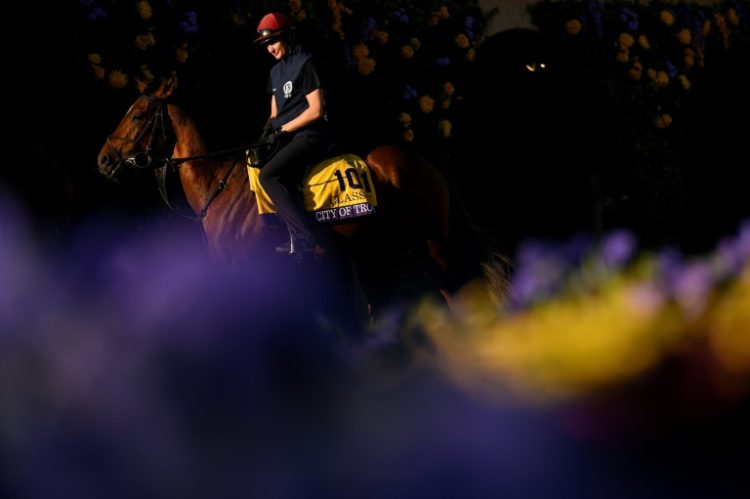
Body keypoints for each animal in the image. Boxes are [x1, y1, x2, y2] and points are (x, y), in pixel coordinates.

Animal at [95, 78, 512, 320]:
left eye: (138, 115)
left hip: (432, 243)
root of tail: (422, 159)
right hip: (375, 252)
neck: (219, 188)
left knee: (455, 293)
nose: (104, 159)